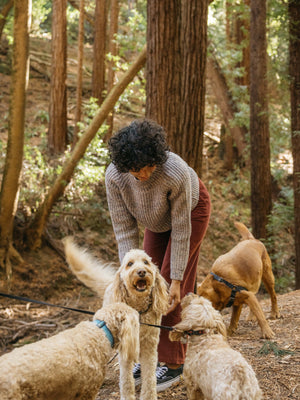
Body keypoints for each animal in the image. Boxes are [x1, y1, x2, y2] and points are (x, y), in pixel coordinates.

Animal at [63, 238, 169, 400]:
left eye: (146, 262)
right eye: (130, 264)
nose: (141, 271)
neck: (139, 310)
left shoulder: (150, 346)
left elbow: (150, 377)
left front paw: (149, 396)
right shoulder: (125, 346)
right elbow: (126, 380)